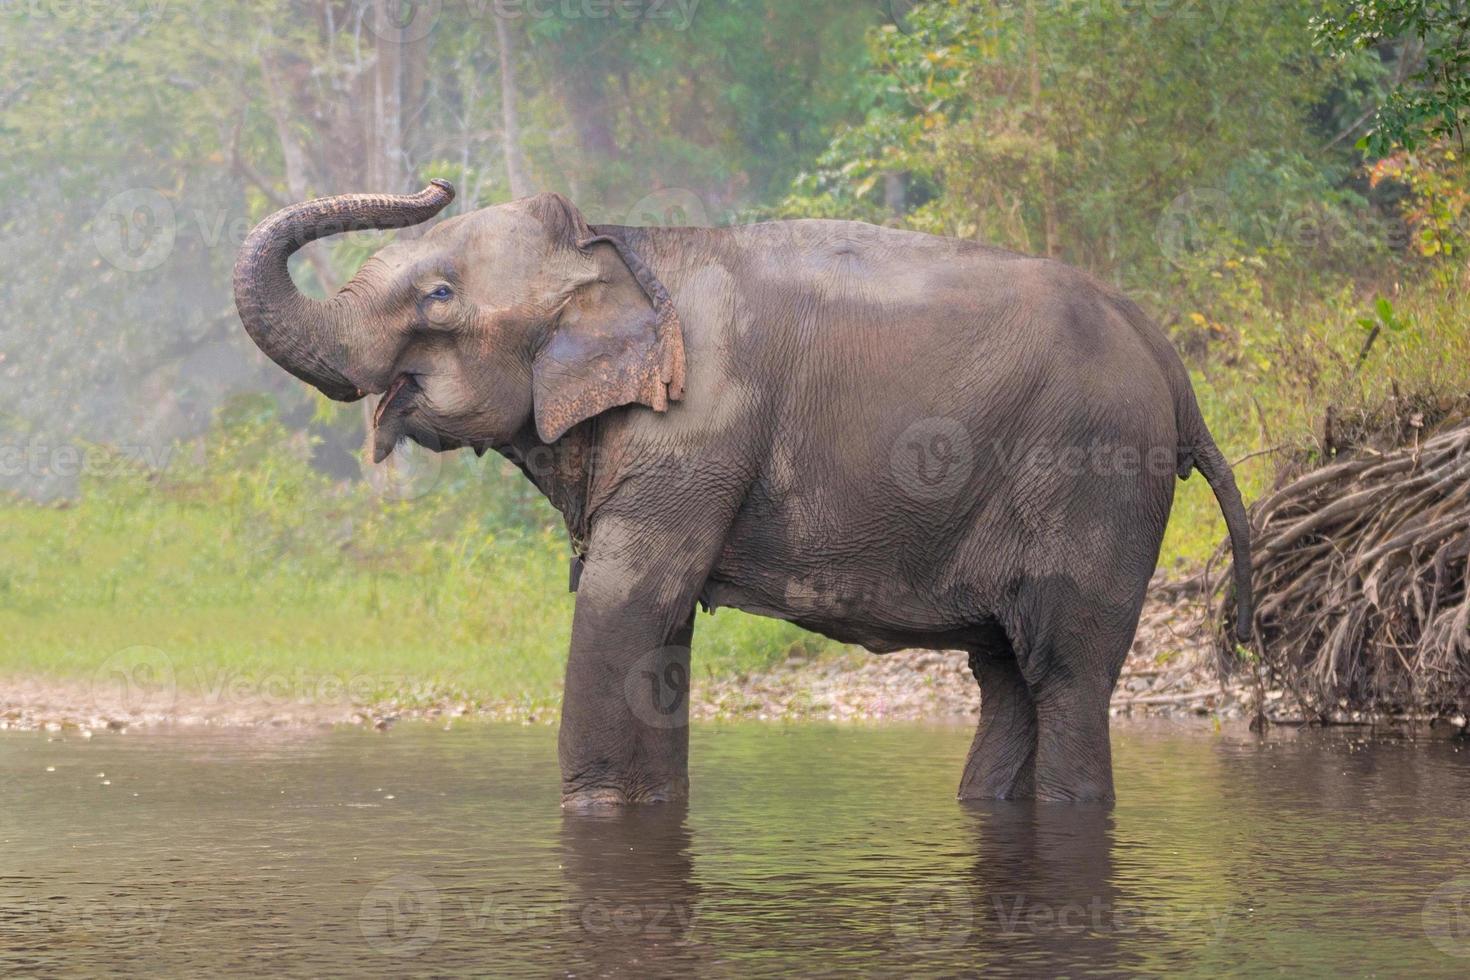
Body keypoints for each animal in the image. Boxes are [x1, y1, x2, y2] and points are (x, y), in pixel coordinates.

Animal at [232, 179, 1252, 811]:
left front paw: (594, 813)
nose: (435, 181)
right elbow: (657, 634)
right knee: (1004, 676)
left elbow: (622, 609)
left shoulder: (699, 428)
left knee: (1064, 673)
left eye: (439, 295)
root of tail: (1174, 368)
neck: (624, 247)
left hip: (1095, 477)